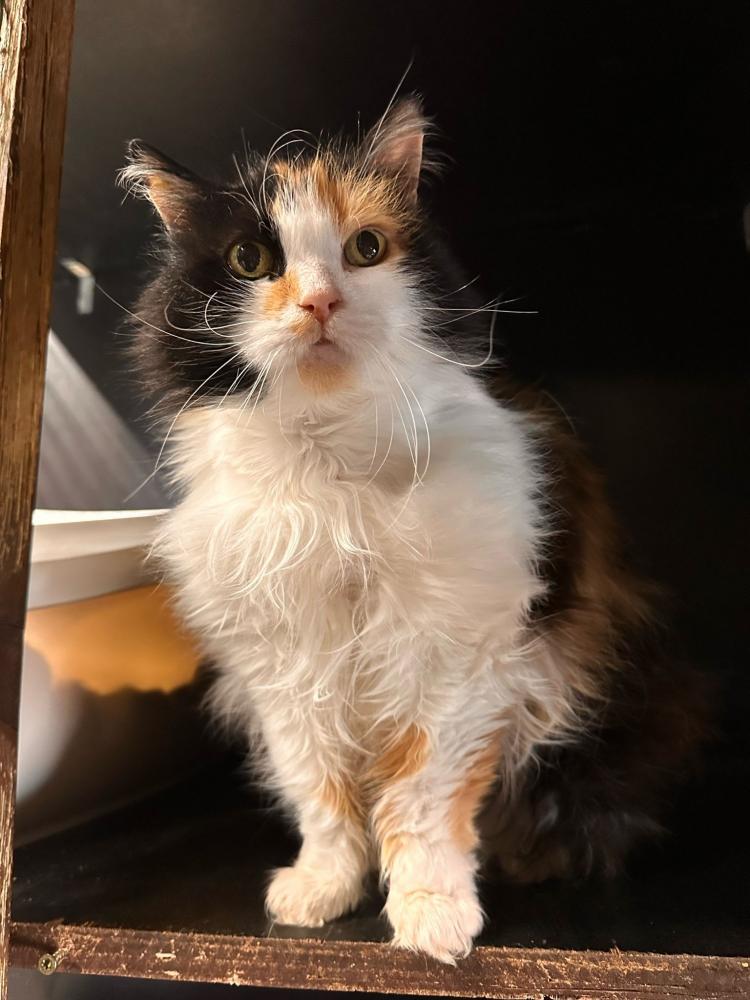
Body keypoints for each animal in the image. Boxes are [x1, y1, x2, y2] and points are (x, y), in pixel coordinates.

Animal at [120, 97, 707, 963]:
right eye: (250, 260)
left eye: (366, 249)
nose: (320, 302)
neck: (332, 472)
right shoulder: (285, 668)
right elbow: (321, 795)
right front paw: (321, 891)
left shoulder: (456, 659)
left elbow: (421, 799)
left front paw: (432, 915)